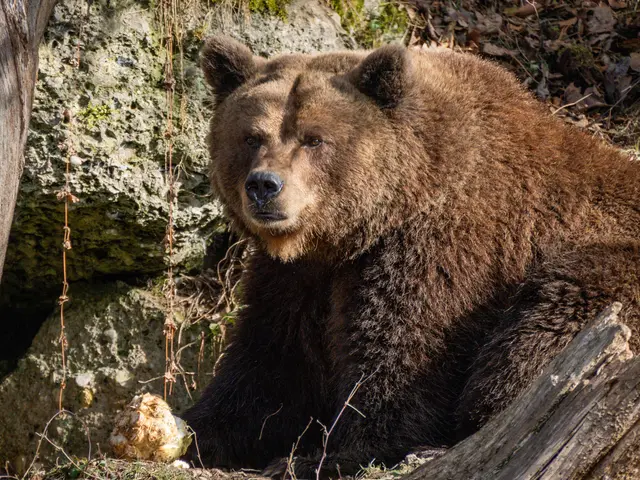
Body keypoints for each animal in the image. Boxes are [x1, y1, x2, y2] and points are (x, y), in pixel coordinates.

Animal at [182, 35, 640, 478]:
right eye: (251, 137)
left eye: (314, 138)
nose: (264, 186)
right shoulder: (296, 279)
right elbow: (271, 366)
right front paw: (196, 431)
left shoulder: (440, 251)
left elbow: (401, 356)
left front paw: (325, 457)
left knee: (549, 323)